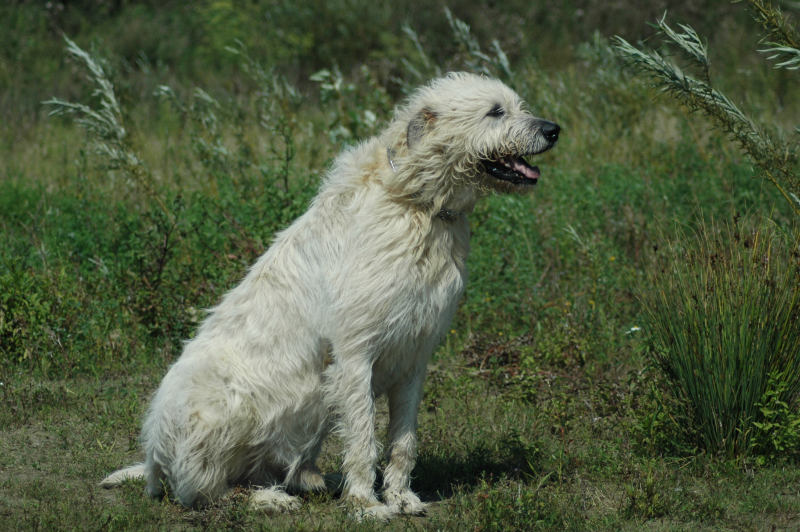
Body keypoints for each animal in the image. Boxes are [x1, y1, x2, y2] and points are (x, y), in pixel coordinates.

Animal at [100, 71, 560, 520]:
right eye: (495, 111)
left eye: (519, 106)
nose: (553, 130)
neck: (416, 205)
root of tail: (154, 459)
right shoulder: (356, 356)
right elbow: (363, 436)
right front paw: (365, 504)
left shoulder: (414, 358)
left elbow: (403, 441)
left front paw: (401, 497)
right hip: (223, 406)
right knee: (202, 492)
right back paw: (266, 499)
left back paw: (308, 482)